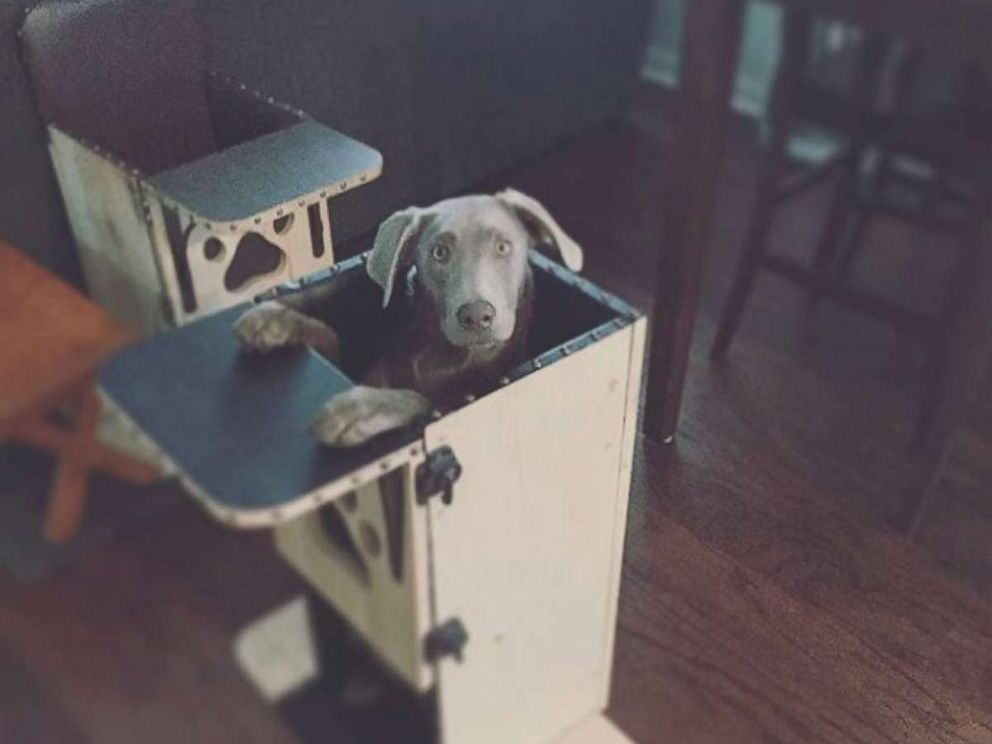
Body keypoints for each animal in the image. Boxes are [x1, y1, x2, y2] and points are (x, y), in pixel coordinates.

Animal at [234, 189, 580, 450]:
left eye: (503, 247)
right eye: (439, 252)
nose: (477, 315)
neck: (445, 358)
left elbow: (420, 401)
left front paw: (360, 410)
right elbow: (329, 339)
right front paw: (274, 320)